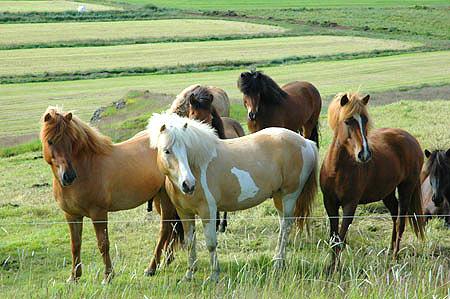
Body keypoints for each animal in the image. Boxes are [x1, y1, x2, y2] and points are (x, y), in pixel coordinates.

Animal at [39, 107, 184, 284]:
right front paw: (74, 277)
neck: (86, 168)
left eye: (71, 142)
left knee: (165, 229)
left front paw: (108, 276)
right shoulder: (71, 215)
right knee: (171, 228)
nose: (68, 176)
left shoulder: (98, 213)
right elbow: (75, 245)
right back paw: (165, 262)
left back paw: (151, 268)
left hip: (166, 198)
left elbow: (103, 244)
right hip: (159, 198)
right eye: (50, 141)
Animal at [146, 113, 318, 284]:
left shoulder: (208, 211)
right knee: (283, 225)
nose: (188, 184)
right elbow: (190, 243)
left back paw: (278, 263)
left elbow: (211, 243)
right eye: (167, 151)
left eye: (186, 149)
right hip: (278, 197)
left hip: (289, 196)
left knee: (286, 227)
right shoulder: (185, 213)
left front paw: (214, 275)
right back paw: (277, 260)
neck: (198, 167)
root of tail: (306, 143)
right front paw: (189, 274)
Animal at [320, 91, 426, 268]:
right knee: (394, 215)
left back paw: (395, 256)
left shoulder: (350, 205)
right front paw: (331, 267)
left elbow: (341, 238)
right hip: (387, 192)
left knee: (400, 222)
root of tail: (410, 138)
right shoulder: (330, 204)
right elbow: (334, 238)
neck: (337, 170)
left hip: (406, 188)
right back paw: (389, 251)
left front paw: (336, 269)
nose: (364, 154)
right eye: (347, 121)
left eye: (365, 120)